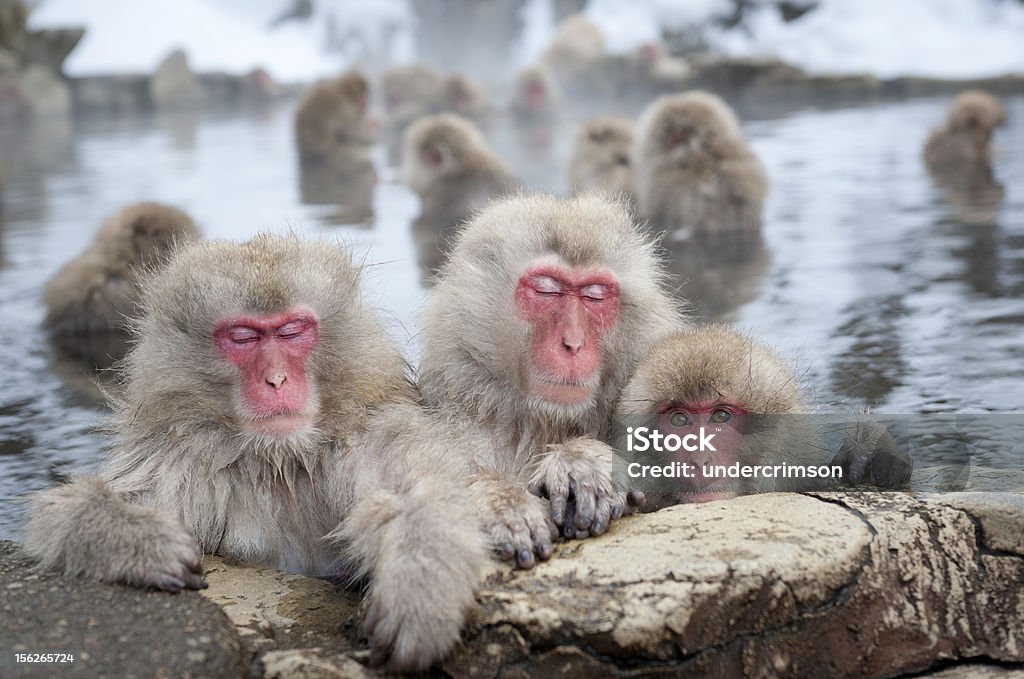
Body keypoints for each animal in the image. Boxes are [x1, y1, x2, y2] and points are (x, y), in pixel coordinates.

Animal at [25, 235, 489, 675]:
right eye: (243, 337)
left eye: (292, 331)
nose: (276, 379)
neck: (278, 460)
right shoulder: (178, 460)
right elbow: (61, 514)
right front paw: (142, 542)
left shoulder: (367, 436)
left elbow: (421, 489)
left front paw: (419, 591)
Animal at [419, 192, 684, 569]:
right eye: (546, 291)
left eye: (595, 295)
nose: (573, 343)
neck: (542, 423)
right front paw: (501, 502)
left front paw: (581, 462)